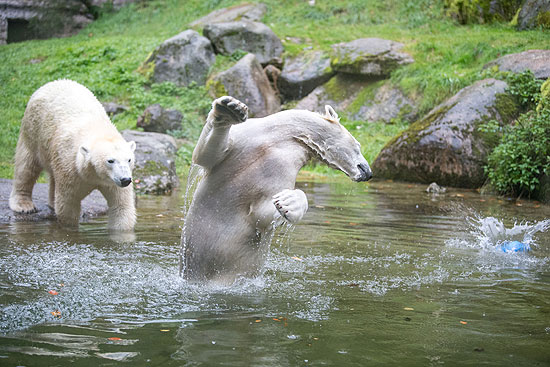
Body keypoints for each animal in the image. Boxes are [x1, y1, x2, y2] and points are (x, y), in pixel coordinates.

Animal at [10, 80, 137, 231]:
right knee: (26, 165)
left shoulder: (112, 182)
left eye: (129, 160)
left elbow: (121, 207)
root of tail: (52, 82)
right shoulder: (70, 168)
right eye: (110, 161)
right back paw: (24, 205)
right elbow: (68, 204)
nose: (125, 179)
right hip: (33, 128)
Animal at [183, 95, 374, 284]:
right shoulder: (245, 139)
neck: (281, 137)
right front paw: (230, 109)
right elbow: (205, 155)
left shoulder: (284, 166)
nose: (367, 172)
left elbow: (263, 214)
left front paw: (288, 203)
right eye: (358, 145)